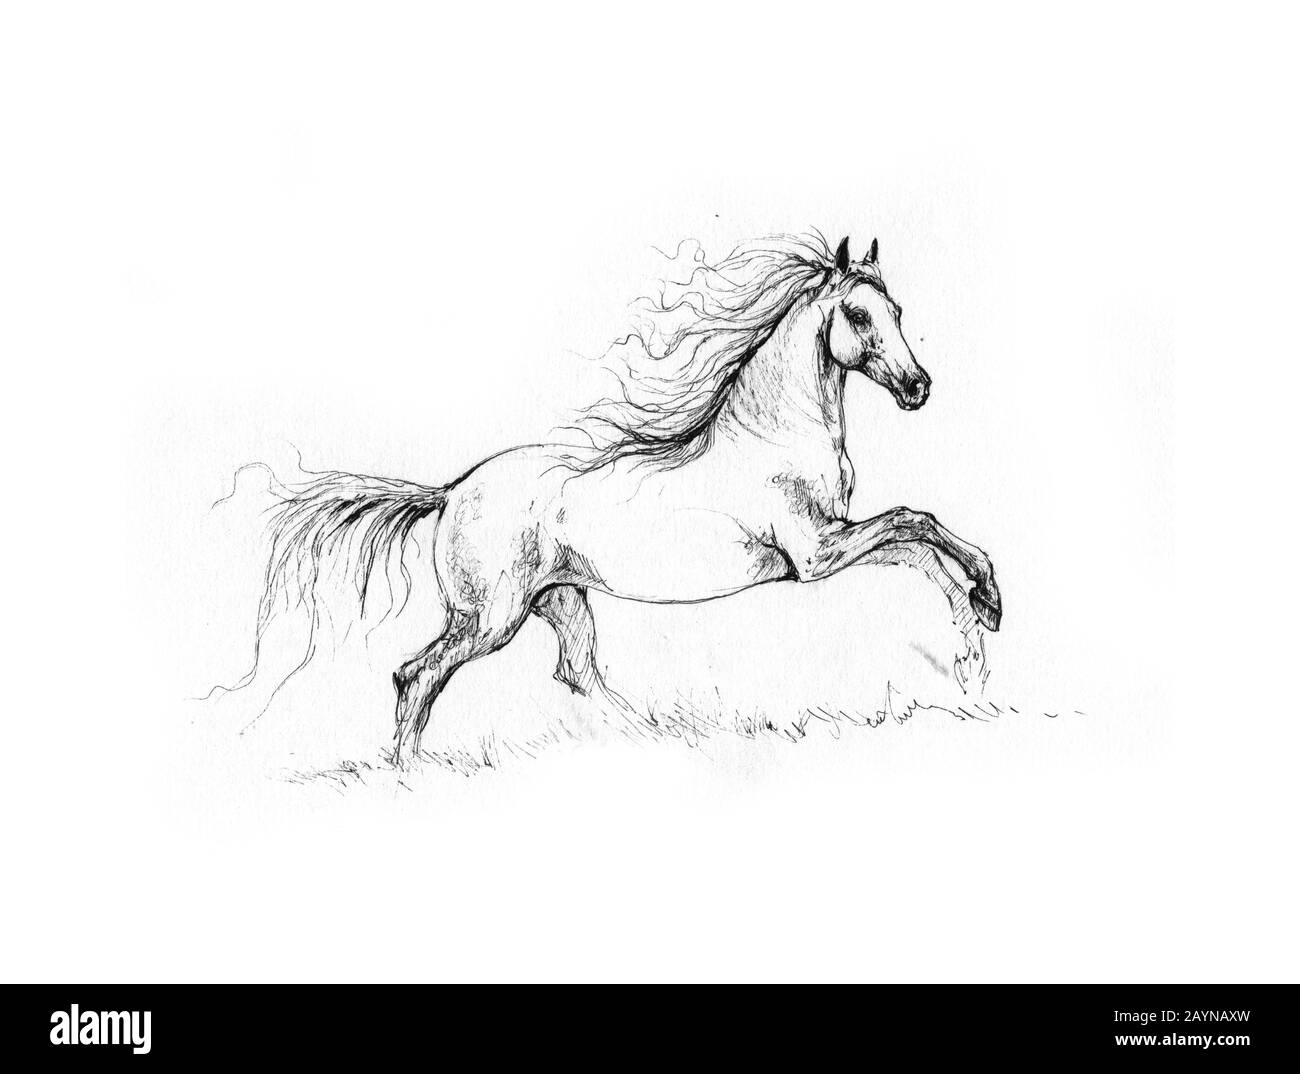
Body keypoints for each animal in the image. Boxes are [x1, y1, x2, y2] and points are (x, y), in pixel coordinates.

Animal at [234, 232, 1001, 768]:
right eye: (858, 315)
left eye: (897, 310)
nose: (918, 388)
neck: (775, 434)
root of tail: (450, 493)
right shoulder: (816, 553)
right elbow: (915, 522)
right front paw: (987, 611)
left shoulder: (834, 542)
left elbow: (922, 547)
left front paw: (978, 641)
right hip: (490, 618)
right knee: (416, 674)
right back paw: (407, 771)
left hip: (560, 600)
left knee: (575, 672)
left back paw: (658, 732)